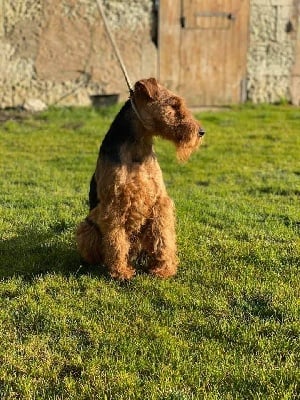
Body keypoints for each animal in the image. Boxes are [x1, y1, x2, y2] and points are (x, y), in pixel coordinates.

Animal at [76, 76, 205, 280]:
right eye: (173, 104)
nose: (201, 132)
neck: (137, 150)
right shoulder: (114, 205)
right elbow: (116, 241)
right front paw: (121, 272)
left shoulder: (160, 201)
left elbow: (163, 237)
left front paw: (164, 269)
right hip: (86, 228)